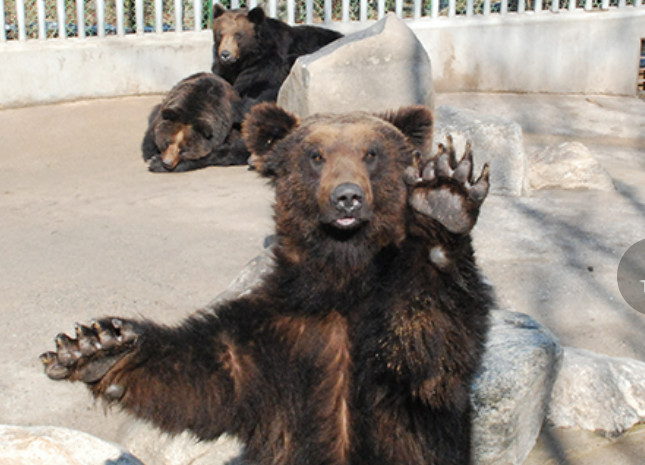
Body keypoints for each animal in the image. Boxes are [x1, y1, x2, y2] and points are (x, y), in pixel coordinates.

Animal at [40, 102, 494, 464]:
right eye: (315, 155)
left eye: (372, 153)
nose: (347, 198)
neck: (340, 279)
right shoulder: (275, 335)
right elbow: (206, 378)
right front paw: (97, 345)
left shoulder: (394, 364)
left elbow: (428, 345)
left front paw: (443, 196)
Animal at [211, 5, 342, 107]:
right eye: (220, 34)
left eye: (238, 35)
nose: (225, 54)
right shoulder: (225, 70)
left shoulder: (268, 66)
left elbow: (255, 89)